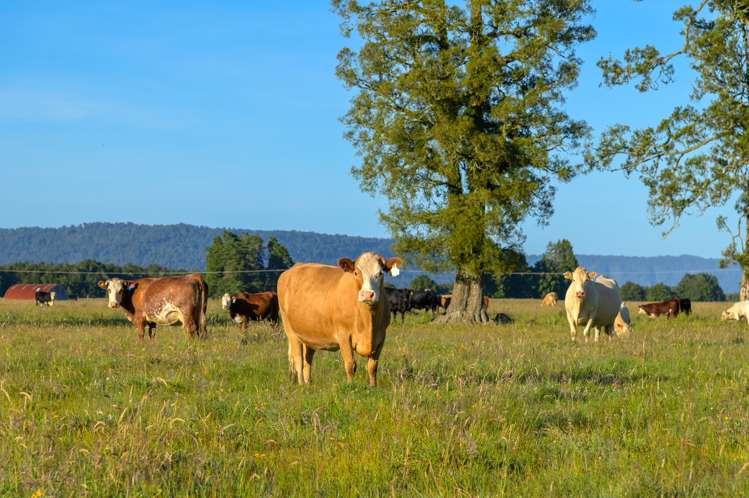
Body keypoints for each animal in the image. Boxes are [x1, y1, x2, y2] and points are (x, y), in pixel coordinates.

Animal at [276, 253, 404, 386]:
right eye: (356, 273)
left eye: (380, 273)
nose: (367, 295)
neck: (368, 322)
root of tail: (290, 270)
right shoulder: (344, 335)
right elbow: (350, 365)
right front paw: (351, 386)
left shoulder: (381, 337)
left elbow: (372, 366)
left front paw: (373, 386)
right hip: (290, 330)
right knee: (298, 359)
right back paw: (301, 384)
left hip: (308, 334)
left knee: (307, 360)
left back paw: (308, 384)